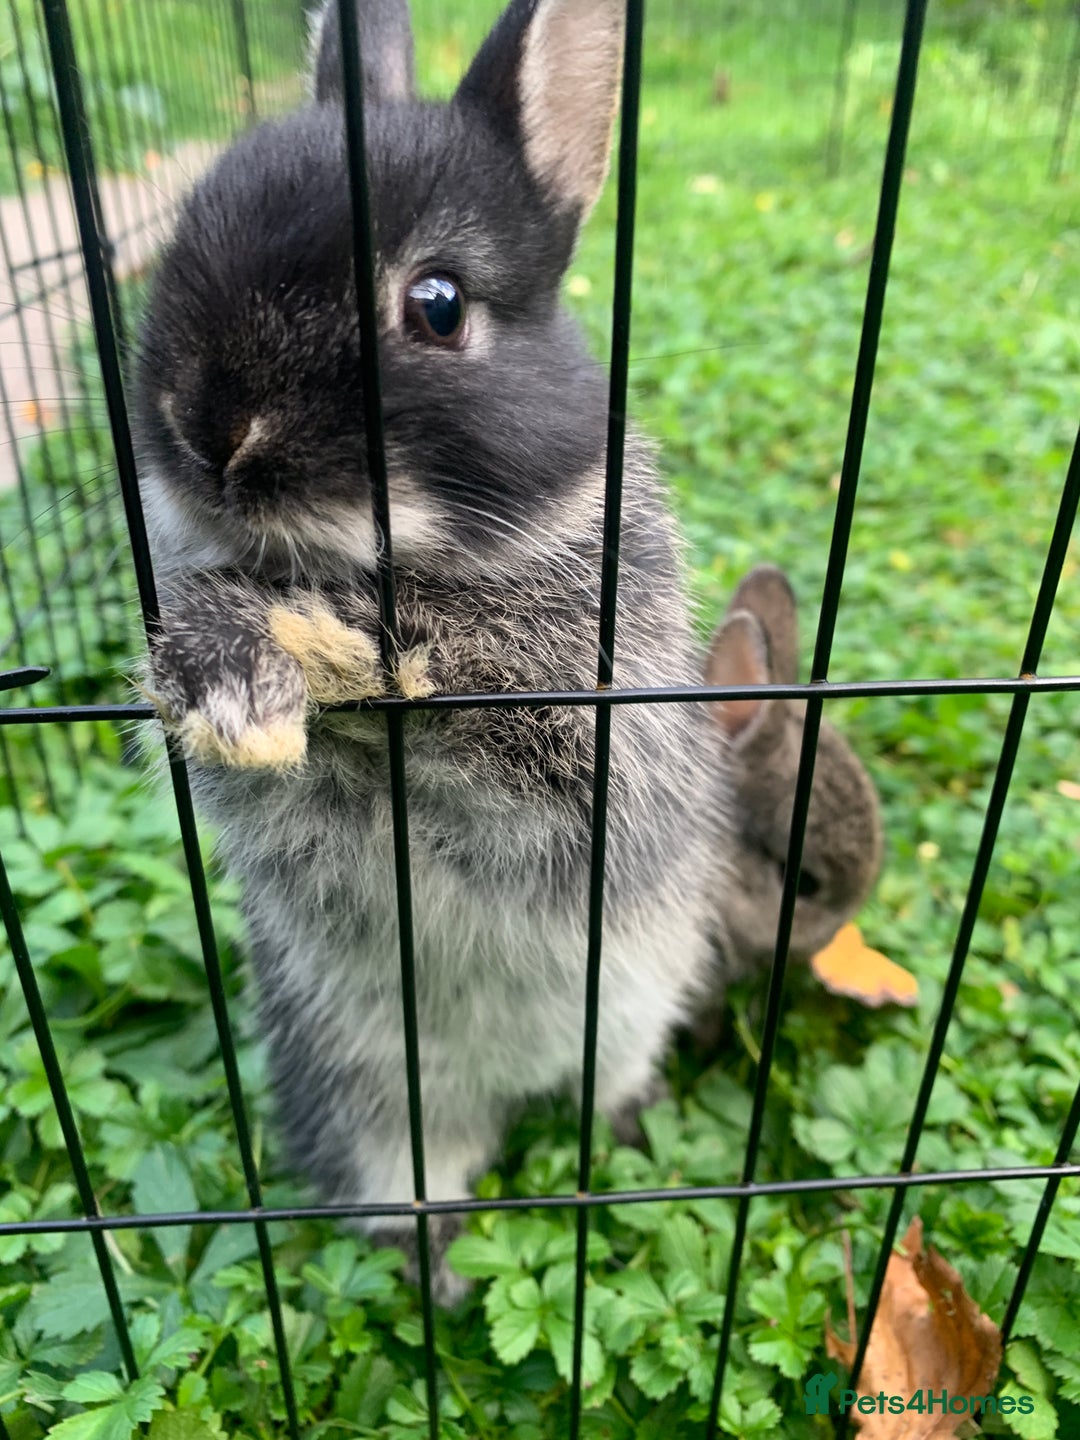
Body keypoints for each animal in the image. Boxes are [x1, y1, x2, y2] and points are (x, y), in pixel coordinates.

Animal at [134, 0, 728, 1295]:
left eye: (440, 304)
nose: (210, 432)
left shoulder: (592, 744)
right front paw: (232, 671)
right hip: (369, 1094)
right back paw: (443, 1268)